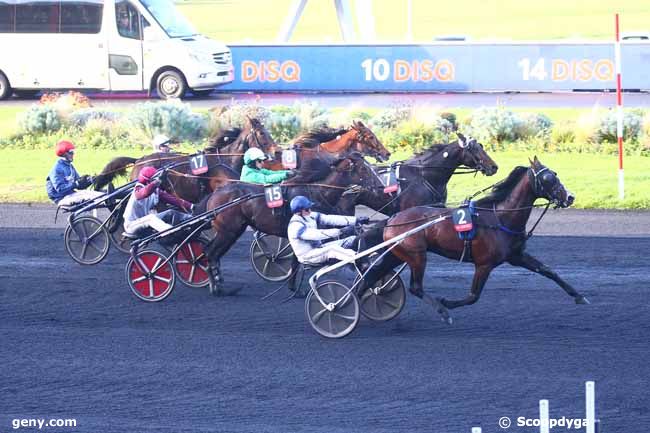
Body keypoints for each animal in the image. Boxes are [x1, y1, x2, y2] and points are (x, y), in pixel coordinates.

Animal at [360, 156, 588, 324]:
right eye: (548, 178)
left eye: (555, 174)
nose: (570, 197)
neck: (501, 217)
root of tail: (393, 219)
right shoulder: (484, 263)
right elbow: (473, 296)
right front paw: (447, 303)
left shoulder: (517, 256)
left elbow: (548, 271)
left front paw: (579, 296)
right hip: (416, 256)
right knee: (415, 287)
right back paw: (442, 311)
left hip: (398, 254)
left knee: (373, 275)